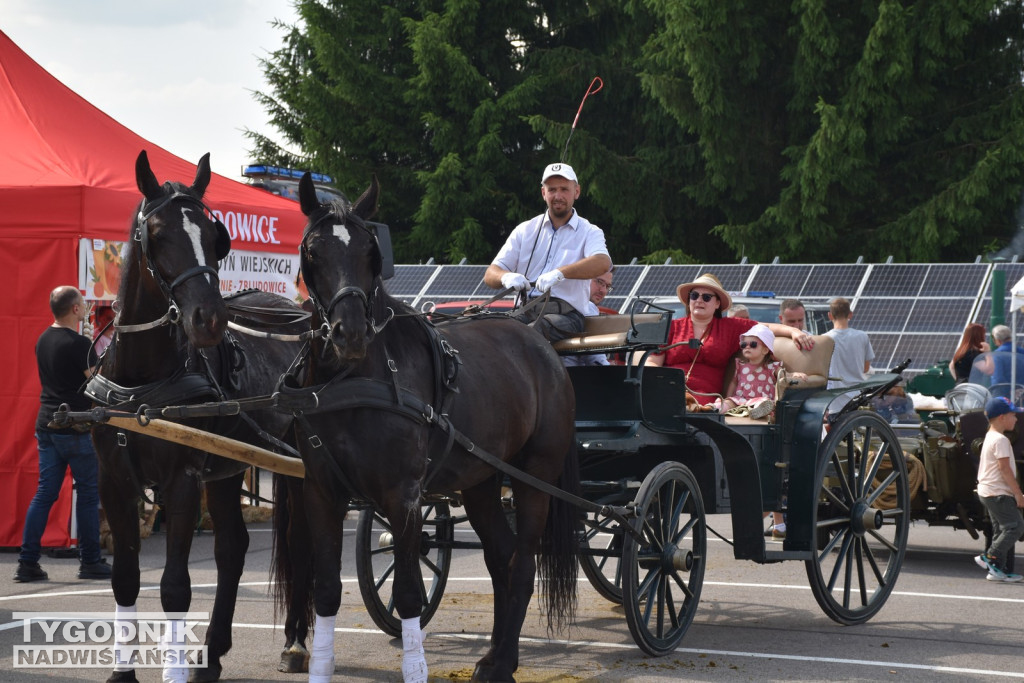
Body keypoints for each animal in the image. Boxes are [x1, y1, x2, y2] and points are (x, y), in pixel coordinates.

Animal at [91, 153, 315, 683]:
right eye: (157, 232)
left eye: (216, 237)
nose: (210, 319)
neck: (141, 382)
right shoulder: (114, 481)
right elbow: (125, 580)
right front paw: (123, 671)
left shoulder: (183, 480)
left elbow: (175, 586)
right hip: (230, 467)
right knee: (233, 548)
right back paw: (212, 654)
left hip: (298, 467)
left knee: (300, 544)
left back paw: (295, 642)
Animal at [296, 174, 581, 679]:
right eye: (314, 251)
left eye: (371, 252)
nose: (350, 334)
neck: (355, 379)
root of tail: (535, 335)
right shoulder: (321, 492)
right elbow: (326, 591)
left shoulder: (404, 496)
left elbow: (409, 594)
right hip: (482, 480)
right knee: (502, 558)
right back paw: (495, 652)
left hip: (536, 477)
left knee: (524, 562)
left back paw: (503, 662)